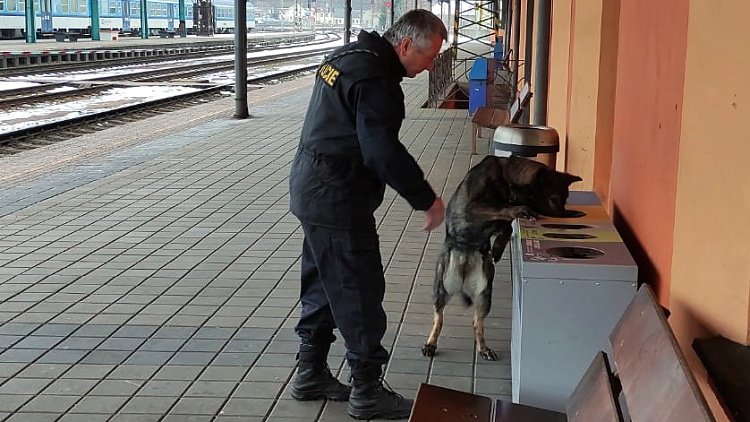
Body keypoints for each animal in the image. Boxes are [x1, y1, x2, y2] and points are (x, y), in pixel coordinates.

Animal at [424, 157, 580, 362]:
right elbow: (504, 210)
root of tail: (465, 264)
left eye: (565, 200)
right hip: (441, 289)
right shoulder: (474, 206)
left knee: (477, 322)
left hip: (484, 296)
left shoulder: (497, 221)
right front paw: (518, 210)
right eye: (554, 199)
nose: (565, 220)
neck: (507, 181)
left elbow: (507, 227)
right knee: (439, 318)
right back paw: (430, 344)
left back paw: (484, 348)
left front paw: (497, 248)